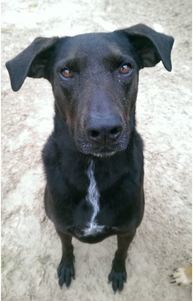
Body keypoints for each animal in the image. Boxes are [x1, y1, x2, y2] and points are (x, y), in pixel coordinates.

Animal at [5, 24, 173, 292]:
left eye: (125, 67)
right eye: (66, 72)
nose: (104, 130)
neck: (94, 168)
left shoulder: (128, 230)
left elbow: (120, 253)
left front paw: (118, 273)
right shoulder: (61, 227)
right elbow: (67, 247)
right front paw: (66, 266)